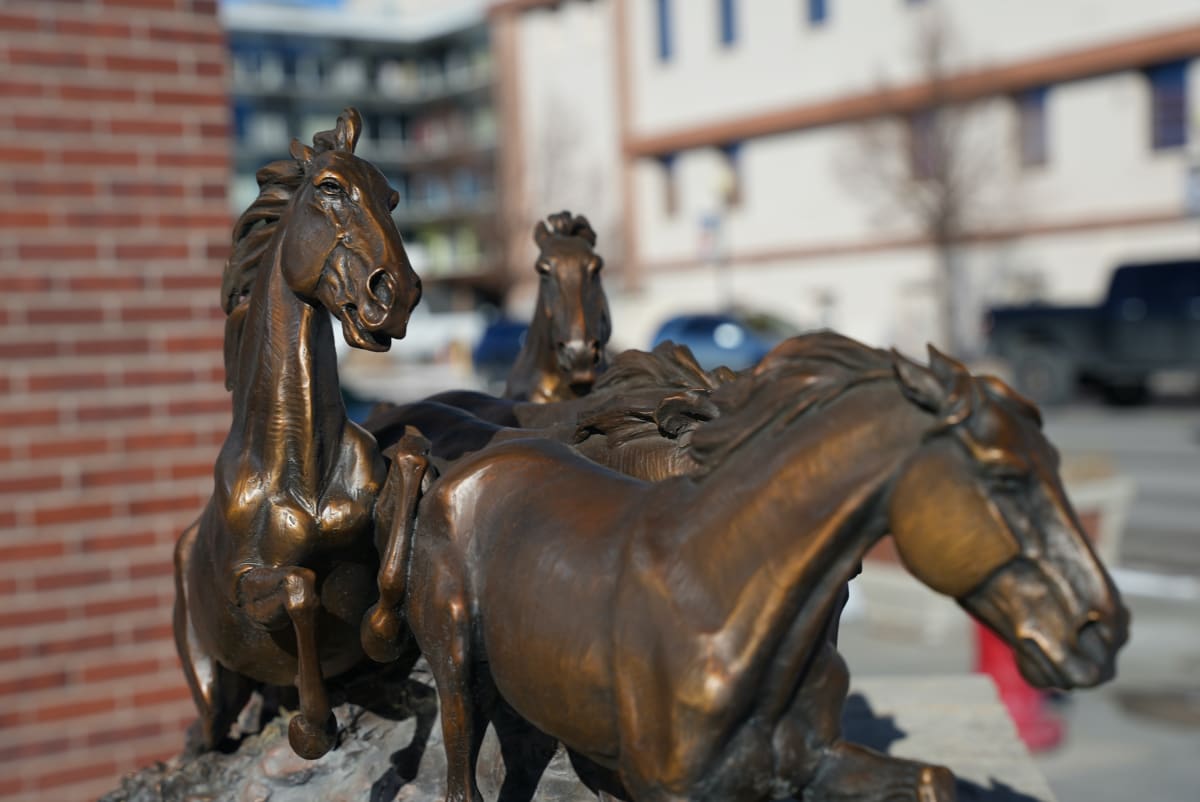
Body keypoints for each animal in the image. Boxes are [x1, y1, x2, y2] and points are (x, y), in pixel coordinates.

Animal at [174, 109, 422, 763]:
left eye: (391, 197)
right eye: (330, 188)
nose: (396, 296)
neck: (300, 465)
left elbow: (409, 472)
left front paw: (380, 636)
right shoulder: (246, 587)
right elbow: (298, 588)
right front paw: (313, 728)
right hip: (213, 689)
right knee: (212, 731)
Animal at [400, 331, 1123, 802]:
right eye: (1007, 478)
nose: (1103, 630)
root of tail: (463, 469)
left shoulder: (806, 763)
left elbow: (930, 777)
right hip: (455, 662)